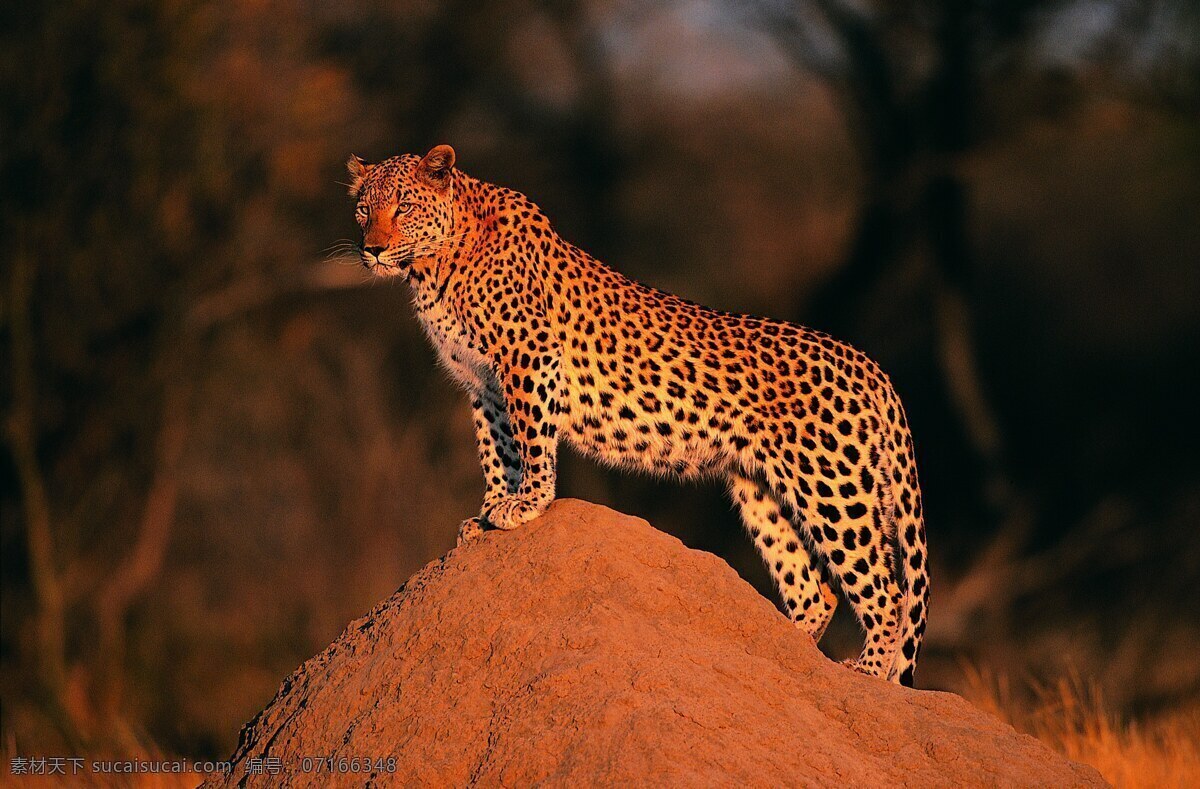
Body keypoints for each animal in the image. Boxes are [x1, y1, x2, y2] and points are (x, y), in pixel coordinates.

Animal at [348, 144, 926, 685]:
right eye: (362, 210)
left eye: (403, 207)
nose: (371, 249)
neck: (434, 266)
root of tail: (866, 363)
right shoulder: (483, 384)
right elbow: (497, 450)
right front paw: (490, 509)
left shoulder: (530, 357)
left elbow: (531, 441)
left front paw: (527, 504)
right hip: (762, 488)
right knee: (815, 589)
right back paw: (779, 654)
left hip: (832, 486)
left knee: (886, 591)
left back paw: (867, 670)